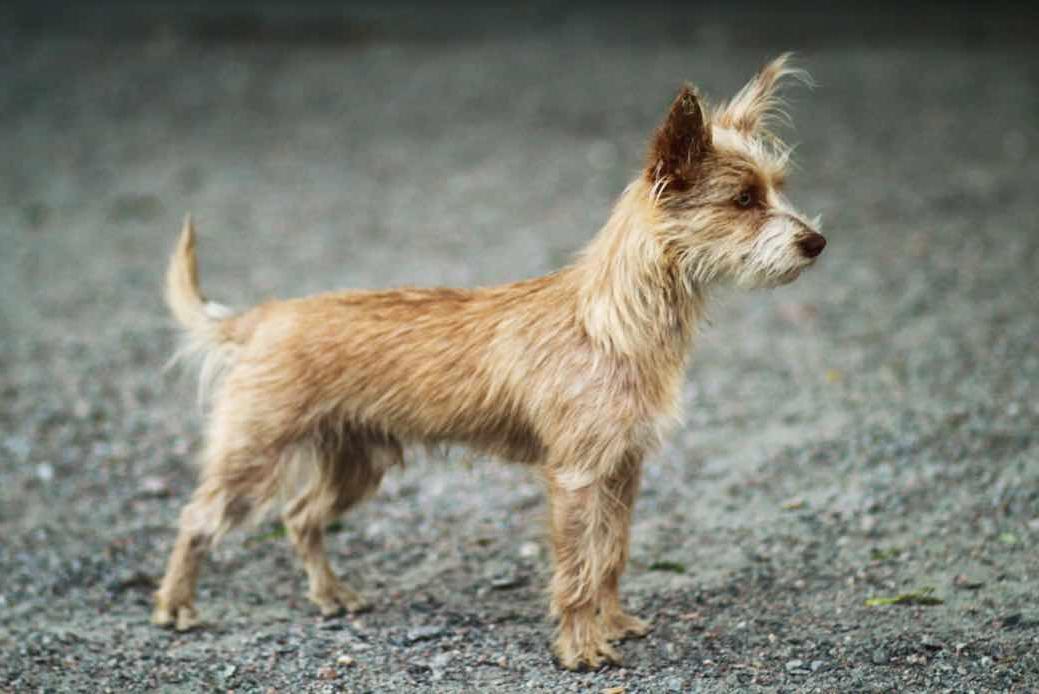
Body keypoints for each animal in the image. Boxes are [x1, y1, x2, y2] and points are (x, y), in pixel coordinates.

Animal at [153, 55, 822, 673]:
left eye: (779, 187)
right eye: (744, 199)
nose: (816, 242)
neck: (611, 321)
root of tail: (263, 318)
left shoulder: (622, 471)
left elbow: (611, 556)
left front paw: (612, 623)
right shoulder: (577, 477)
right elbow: (578, 569)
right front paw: (581, 647)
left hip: (358, 463)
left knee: (300, 517)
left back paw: (331, 595)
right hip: (254, 458)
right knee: (198, 518)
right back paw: (176, 605)